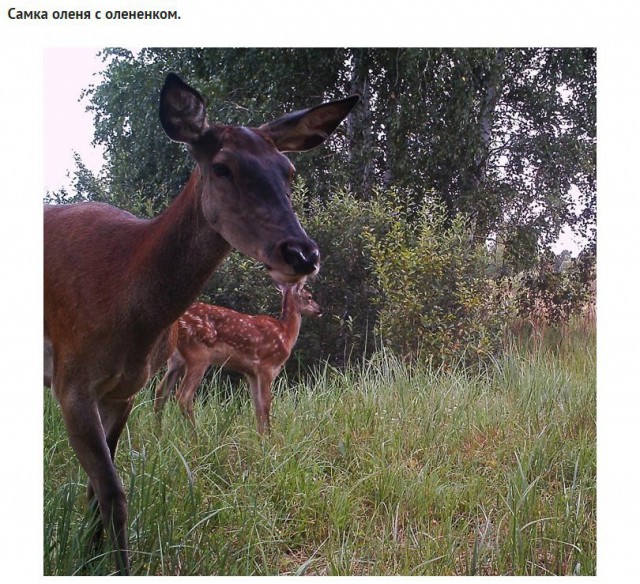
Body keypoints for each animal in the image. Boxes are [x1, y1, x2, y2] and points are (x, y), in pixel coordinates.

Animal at [153, 280, 322, 432]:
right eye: (309, 296)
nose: (319, 310)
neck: (286, 334)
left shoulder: (251, 373)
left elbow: (257, 406)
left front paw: (260, 437)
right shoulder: (266, 367)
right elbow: (266, 403)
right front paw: (269, 438)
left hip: (176, 359)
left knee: (161, 390)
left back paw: (159, 433)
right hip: (198, 355)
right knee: (183, 395)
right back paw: (195, 436)